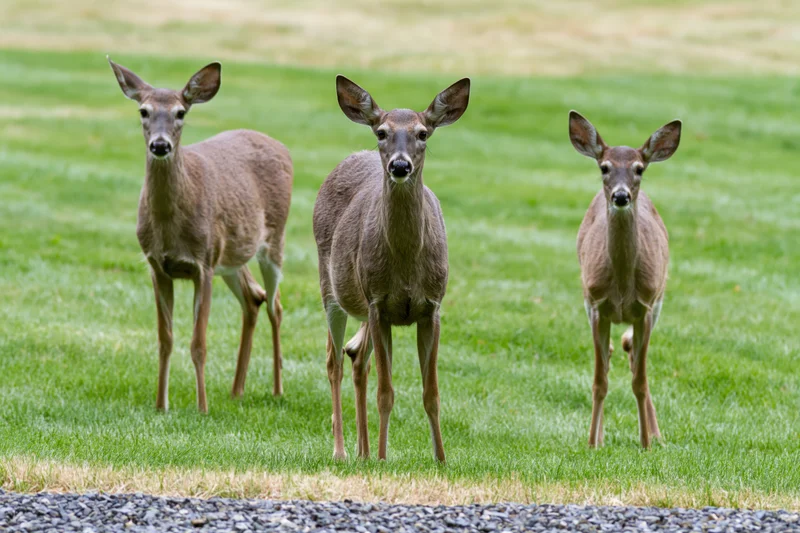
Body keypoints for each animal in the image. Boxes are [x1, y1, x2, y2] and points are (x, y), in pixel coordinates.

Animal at [108, 57, 292, 413]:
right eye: (143, 111)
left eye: (181, 112)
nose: (160, 145)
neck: (169, 226)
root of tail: (281, 146)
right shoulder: (157, 266)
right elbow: (165, 340)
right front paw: (160, 405)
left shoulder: (203, 264)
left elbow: (199, 343)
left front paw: (202, 407)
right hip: (232, 256)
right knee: (254, 298)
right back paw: (236, 390)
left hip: (274, 239)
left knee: (275, 305)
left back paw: (277, 390)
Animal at [313, 75, 470, 462]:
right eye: (382, 132)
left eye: (423, 133)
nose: (400, 166)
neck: (406, 265)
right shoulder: (378, 303)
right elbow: (386, 391)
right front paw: (384, 458)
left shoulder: (432, 307)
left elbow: (432, 394)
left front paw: (441, 459)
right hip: (331, 288)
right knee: (335, 361)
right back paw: (343, 451)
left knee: (356, 357)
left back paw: (363, 452)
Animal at [569, 110, 681, 449]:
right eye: (604, 167)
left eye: (639, 169)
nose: (621, 195)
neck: (620, 287)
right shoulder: (595, 305)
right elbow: (599, 380)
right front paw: (592, 443)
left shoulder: (645, 307)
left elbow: (639, 381)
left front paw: (645, 443)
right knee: (609, 354)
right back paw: (602, 435)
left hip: (658, 304)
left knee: (631, 352)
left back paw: (656, 436)